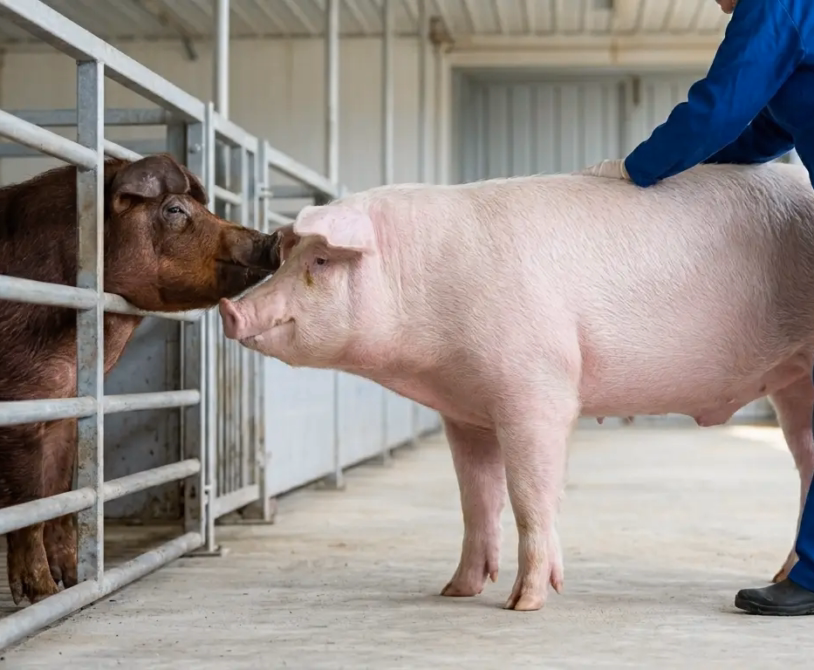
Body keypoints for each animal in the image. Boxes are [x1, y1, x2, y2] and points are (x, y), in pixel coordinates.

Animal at [0, 153, 282, 606]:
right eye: (175, 210)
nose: (273, 237)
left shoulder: (65, 408)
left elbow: (62, 492)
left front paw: (73, 583)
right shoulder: (20, 405)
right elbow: (30, 503)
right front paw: (42, 596)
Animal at [218, 161, 814, 611]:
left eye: (321, 260)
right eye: (291, 259)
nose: (229, 308)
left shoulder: (538, 389)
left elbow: (529, 494)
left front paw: (522, 603)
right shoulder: (463, 412)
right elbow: (475, 499)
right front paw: (455, 590)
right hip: (795, 385)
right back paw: (777, 580)